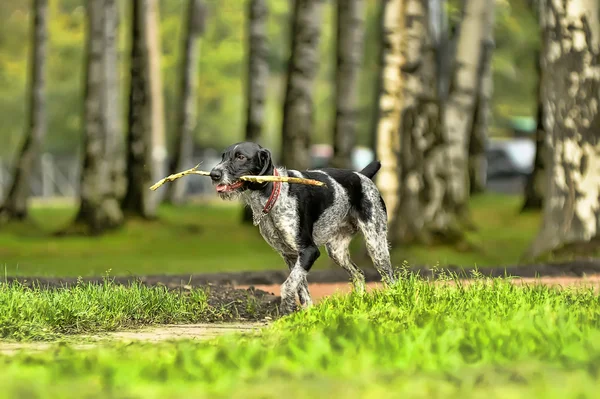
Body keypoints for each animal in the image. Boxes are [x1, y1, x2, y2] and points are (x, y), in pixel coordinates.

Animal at [209, 142, 396, 314]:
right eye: (223, 156)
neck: (275, 193)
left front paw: (286, 311)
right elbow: (302, 290)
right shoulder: (291, 256)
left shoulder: (309, 251)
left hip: (376, 245)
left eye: (240, 157)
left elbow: (287, 286)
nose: (213, 174)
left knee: (391, 279)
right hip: (337, 251)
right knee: (359, 274)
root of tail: (361, 175)